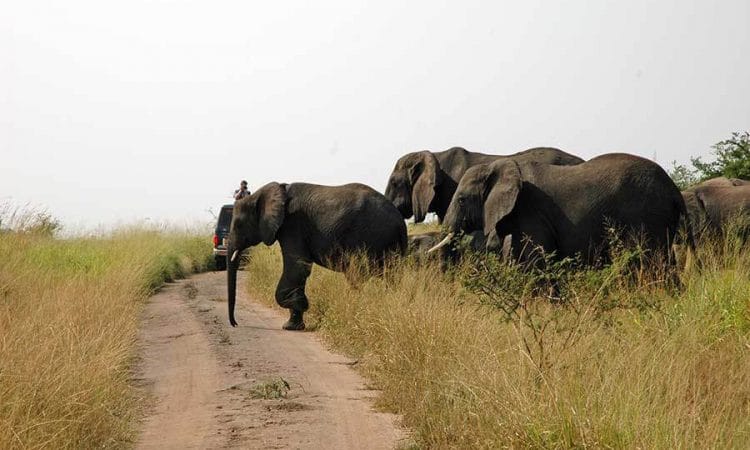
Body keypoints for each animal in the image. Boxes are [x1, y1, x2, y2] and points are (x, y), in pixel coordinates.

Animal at [226, 182, 407, 330]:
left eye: (238, 224)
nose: (235, 324)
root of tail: (400, 221)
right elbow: (299, 271)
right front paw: (293, 324)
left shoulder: (292, 225)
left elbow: (297, 268)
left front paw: (302, 305)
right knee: (390, 277)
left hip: (370, 236)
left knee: (357, 275)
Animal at [430, 153, 695, 267]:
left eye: (461, 200)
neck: (498, 165)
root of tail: (674, 189)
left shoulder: (530, 212)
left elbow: (533, 262)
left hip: (646, 216)